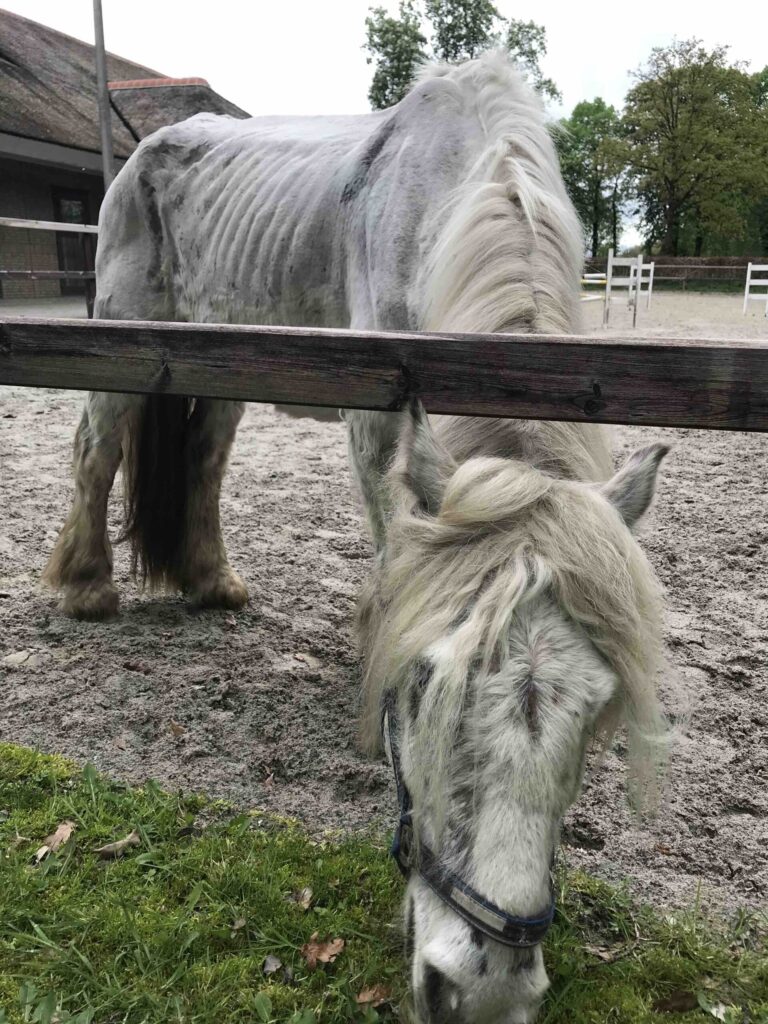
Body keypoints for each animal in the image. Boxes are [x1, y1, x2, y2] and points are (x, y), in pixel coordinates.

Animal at [48, 51, 671, 1019]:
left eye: (603, 705)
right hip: (126, 338)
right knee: (96, 445)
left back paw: (212, 581)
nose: (482, 993)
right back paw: (87, 587)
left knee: (207, 456)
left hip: (229, 356)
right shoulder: (379, 427)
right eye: (419, 685)